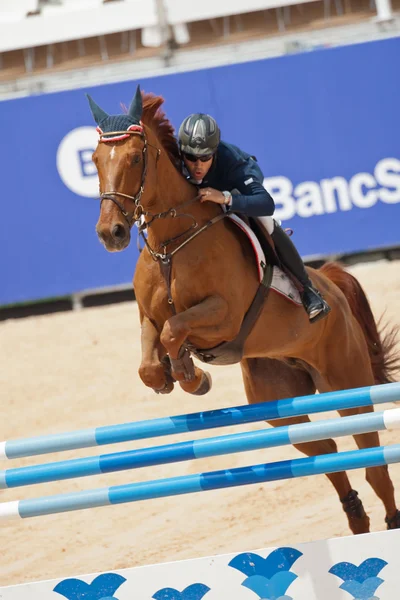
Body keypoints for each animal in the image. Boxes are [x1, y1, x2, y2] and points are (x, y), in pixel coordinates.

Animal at [88, 84, 400, 536]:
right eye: (95, 160)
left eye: (133, 158)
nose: (110, 233)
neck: (171, 244)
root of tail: (332, 284)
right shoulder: (147, 315)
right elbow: (150, 356)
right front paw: (172, 376)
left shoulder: (223, 314)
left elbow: (175, 330)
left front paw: (192, 376)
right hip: (280, 402)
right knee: (325, 451)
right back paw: (356, 518)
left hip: (348, 384)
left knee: (372, 463)